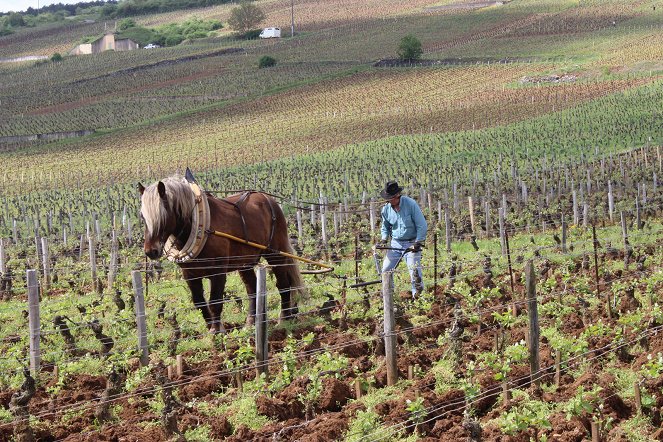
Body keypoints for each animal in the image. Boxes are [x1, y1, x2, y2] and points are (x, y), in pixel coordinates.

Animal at [141, 175, 308, 332]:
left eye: (163, 214)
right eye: (143, 216)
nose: (151, 251)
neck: (201, 228)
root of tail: (269, 200)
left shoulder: (218, 272)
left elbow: (215, 302)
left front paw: (217, 331)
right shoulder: (190, 274)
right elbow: (199, 302)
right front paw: (211, 329)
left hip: (275, 253)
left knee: (283, 284)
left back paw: (284, 318)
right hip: (245, 262)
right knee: (252, 289)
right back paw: (251, 322)